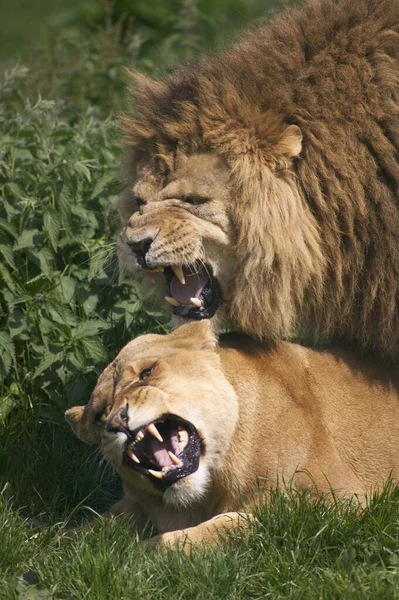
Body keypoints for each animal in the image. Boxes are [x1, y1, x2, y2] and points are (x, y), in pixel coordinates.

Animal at [65, 322, 399, 552]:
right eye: (98, 415)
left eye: (146, 373)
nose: (116, 422)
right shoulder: (139, 505)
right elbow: (89, 527)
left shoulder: (330, 504)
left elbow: (229, 526)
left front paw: (137, 553)